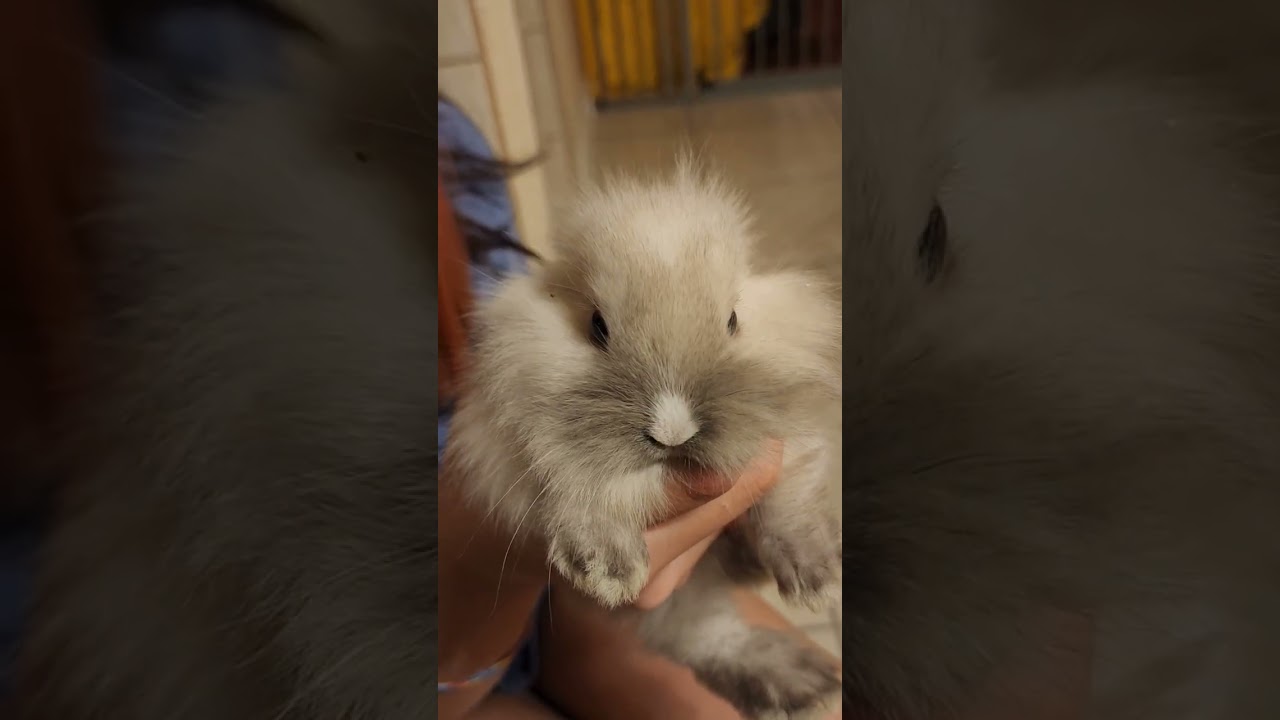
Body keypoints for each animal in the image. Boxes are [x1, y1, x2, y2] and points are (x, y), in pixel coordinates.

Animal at [444, 155, 844, 718]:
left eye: (732, 320)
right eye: (597, 326)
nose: (672, 432)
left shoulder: (791, 443)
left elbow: (789, 499)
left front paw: (818, 580)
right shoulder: (508, 452)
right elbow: (582, 492)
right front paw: (607, 572)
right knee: (697, 636)